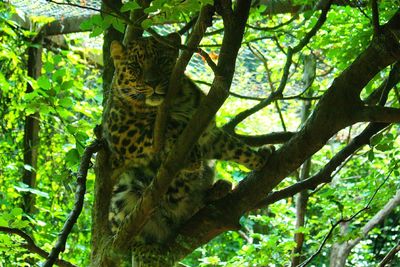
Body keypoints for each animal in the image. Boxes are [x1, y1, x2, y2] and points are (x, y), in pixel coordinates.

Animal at [102, 33, 272, 266]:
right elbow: (165, 126)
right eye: (135, 66)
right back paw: (145, 251)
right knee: (129, 239)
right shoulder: (120, 132)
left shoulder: (210, 134)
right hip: (123, 197)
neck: (173, 102)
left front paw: (259, 159)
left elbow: (234, 147)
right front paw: (191, 157)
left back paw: (217, 190)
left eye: (162, 61)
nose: (152, 83)